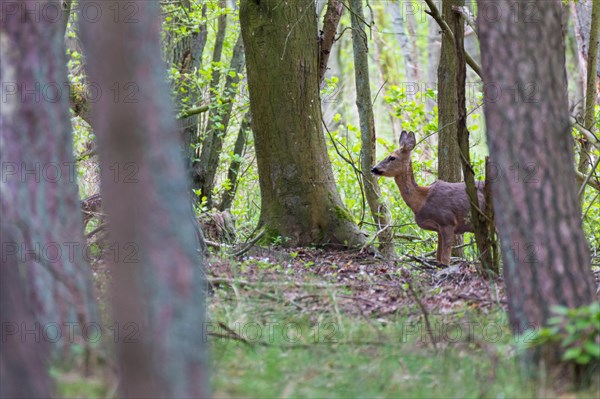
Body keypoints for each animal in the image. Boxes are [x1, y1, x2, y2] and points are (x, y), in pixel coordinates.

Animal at [368, 130, 486, 266]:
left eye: (392, 157)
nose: (373, 169)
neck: (421, 200)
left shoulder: (448, 221)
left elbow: (445, 260)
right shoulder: (439, 228)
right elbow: (438, 259)